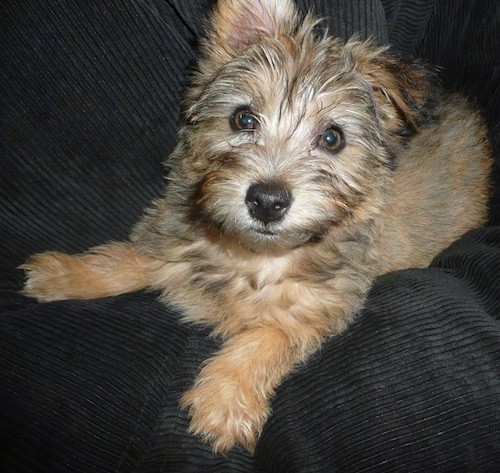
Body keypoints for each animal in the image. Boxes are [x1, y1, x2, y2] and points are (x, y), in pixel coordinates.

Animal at [20, 0, 492, 452]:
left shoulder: (318, 305)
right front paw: (64, 273)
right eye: (243, 119)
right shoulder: (172, 239)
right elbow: (129, 257)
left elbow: (267, 337)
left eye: (332, 138)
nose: (266, 200)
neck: (251, 255)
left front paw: (224, 400)